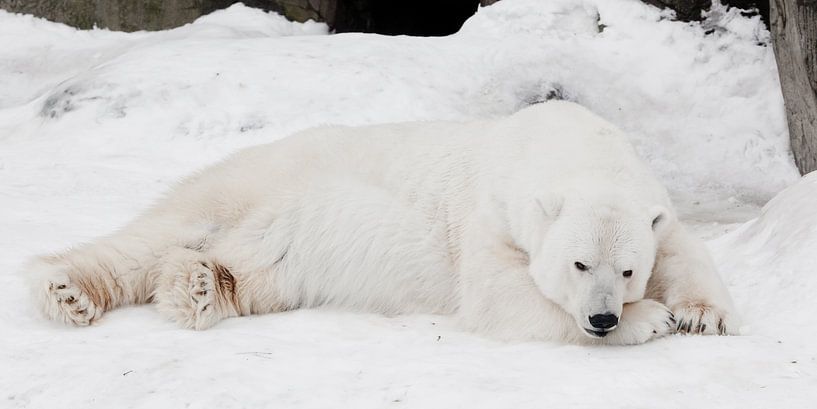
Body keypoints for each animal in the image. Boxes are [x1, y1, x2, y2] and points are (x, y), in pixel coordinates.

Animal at [25, 100, 740, 342]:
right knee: (158, 234)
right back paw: (67, 290)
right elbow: (501, 297)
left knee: (241, 273)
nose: (602, 317)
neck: (570, 142)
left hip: (280, 256)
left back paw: (197, 286)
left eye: (627, 269)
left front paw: (700, 314)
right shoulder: (493, 210)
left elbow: (684, 246)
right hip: (254, 181)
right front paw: (653, 320)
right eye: (578, 264)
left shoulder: (649, 199)